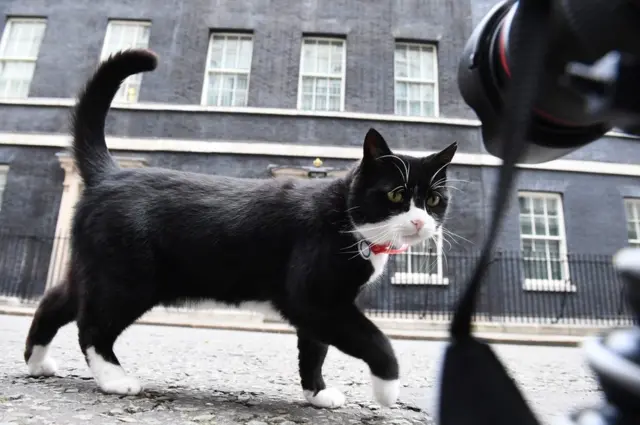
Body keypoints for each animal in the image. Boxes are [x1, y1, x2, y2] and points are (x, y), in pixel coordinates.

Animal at [22, 48, 458, 408]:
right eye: (397, 195)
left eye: (435, 200)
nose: (420, 221)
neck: (346, 221)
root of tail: (110, 173)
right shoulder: (314, 298)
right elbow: (374, 339)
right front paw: (387, 390)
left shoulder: (320, 308)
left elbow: (314, 349)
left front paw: (316, 394)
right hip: (128, 278)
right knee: (92, 325)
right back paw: (114, 378)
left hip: (95, 268)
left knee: (56, 301)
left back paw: (38, 362)